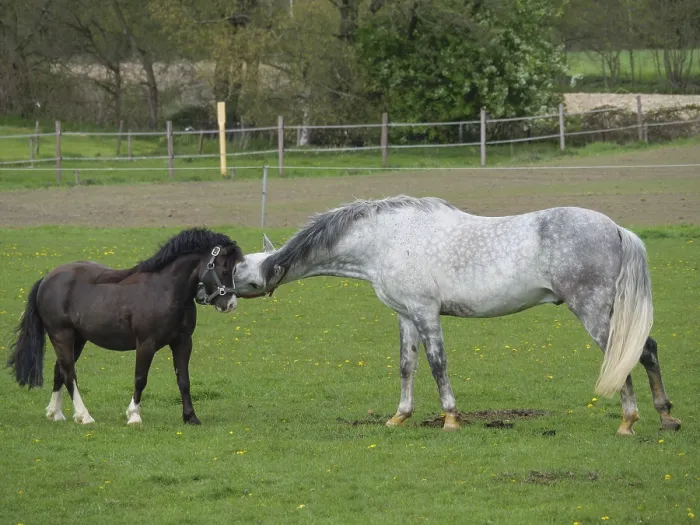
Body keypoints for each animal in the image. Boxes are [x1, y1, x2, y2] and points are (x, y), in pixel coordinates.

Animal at [7, 228, 243, 426]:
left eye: (234, 270)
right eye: (223, 268)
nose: (230, 304)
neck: (165, 289)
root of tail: (47, 278)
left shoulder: (183, 342)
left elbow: (184, 379)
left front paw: (190, 417)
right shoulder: (146, 344)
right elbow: (140, 378)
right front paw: (134, 416)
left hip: (78, 338)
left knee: (59, 370)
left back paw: (55, 413)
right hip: (61, 335)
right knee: (69, 372)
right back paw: (84, 416)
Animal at [232, 195, 681, 435]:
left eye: (244, 275)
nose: (223, 295)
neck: (385, 239)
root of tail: (617, 229)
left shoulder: (425, 312)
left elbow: (437, 364)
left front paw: (450, 418)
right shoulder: (406, 315)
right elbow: (407, 366)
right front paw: (399, 417)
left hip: (592, 310)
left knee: (622, 358)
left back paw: (628, 422)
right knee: (647, 350)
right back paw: (666, 417)